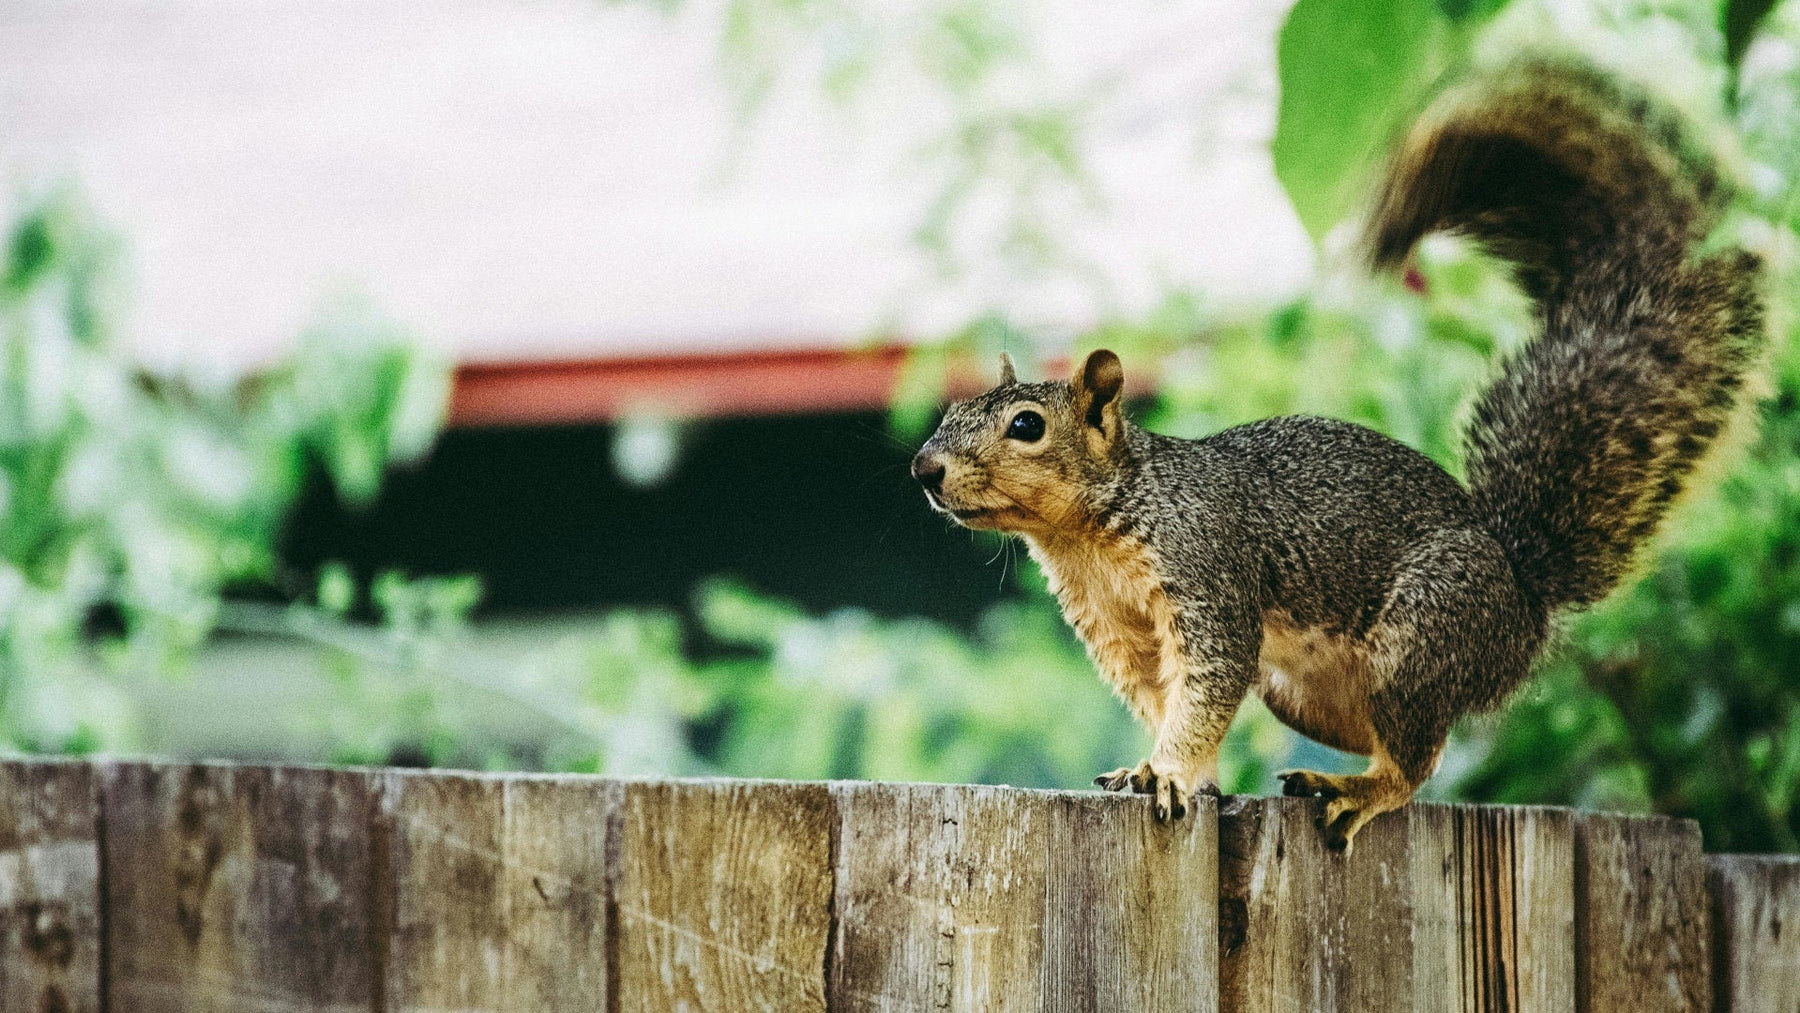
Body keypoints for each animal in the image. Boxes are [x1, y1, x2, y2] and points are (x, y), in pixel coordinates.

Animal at [910, 59, 1765, 851]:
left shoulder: (1207, 575)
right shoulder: (1120, 631)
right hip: (1308, 690)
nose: (925, 470)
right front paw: (1171, 770)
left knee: (1418, 759)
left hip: (1423, 635)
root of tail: (1524, 597)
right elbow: (1162, 696)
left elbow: (1206, 687)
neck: (1087, 533)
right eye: (948, 413)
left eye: (1026, 425)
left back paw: (1359, 789)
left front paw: (1169, 769)